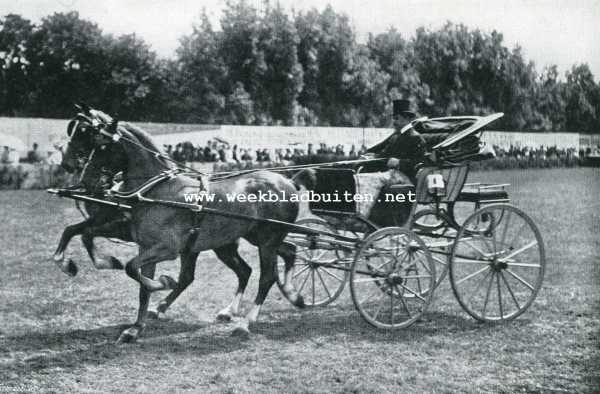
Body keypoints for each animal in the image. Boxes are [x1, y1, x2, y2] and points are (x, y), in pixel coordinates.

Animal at [61, 107, 310, 342]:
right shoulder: (146, 246)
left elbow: (132, 268)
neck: (155, 191)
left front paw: (163, 282)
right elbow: (140, 285)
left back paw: (246, 323)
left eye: (101, 145)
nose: (84, 179)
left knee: (267, 277)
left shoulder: (167, 249)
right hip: (241, 240)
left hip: (267, 239)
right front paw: (135, 329)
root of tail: (286, 180)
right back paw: (285, 296)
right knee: (274, 257)